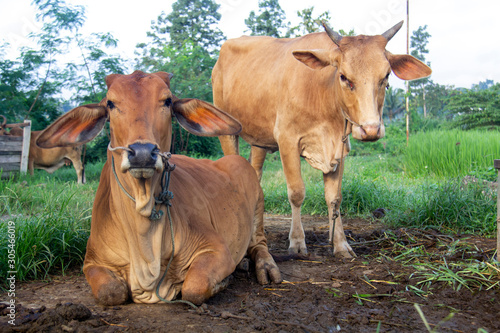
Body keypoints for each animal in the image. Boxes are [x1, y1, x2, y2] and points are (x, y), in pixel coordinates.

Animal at [36, 71, 282, 304]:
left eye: (167, 101)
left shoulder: (216, 249)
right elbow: (111, 292)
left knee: (259, 244)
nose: (142, 153)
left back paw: (264, 267)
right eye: (110, 103)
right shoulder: (93, 261)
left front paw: (224, 280)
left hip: (258, 205)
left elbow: (193, 289)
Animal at [211, 21, 430, 256]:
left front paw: (341, 244)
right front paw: (297, 242)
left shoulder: (339, 147)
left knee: (255, 175)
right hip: (226, 130)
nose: (370, 129)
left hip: (259, 140)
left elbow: (335, 198)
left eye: (386, 76)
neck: (322, 95)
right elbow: (297, 192)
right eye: (343, 76)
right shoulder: (287, 140)